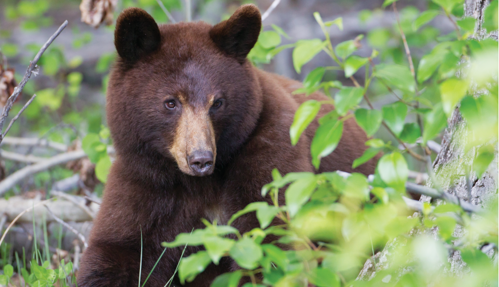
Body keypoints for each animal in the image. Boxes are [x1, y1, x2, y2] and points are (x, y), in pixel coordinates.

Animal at [77, 4, 376, 287]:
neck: (199, 185)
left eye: (218, 102)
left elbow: (272, 237)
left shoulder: (271, 148)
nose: (200, 159)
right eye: (170, 102)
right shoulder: (146, 179)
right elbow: (119, 250)